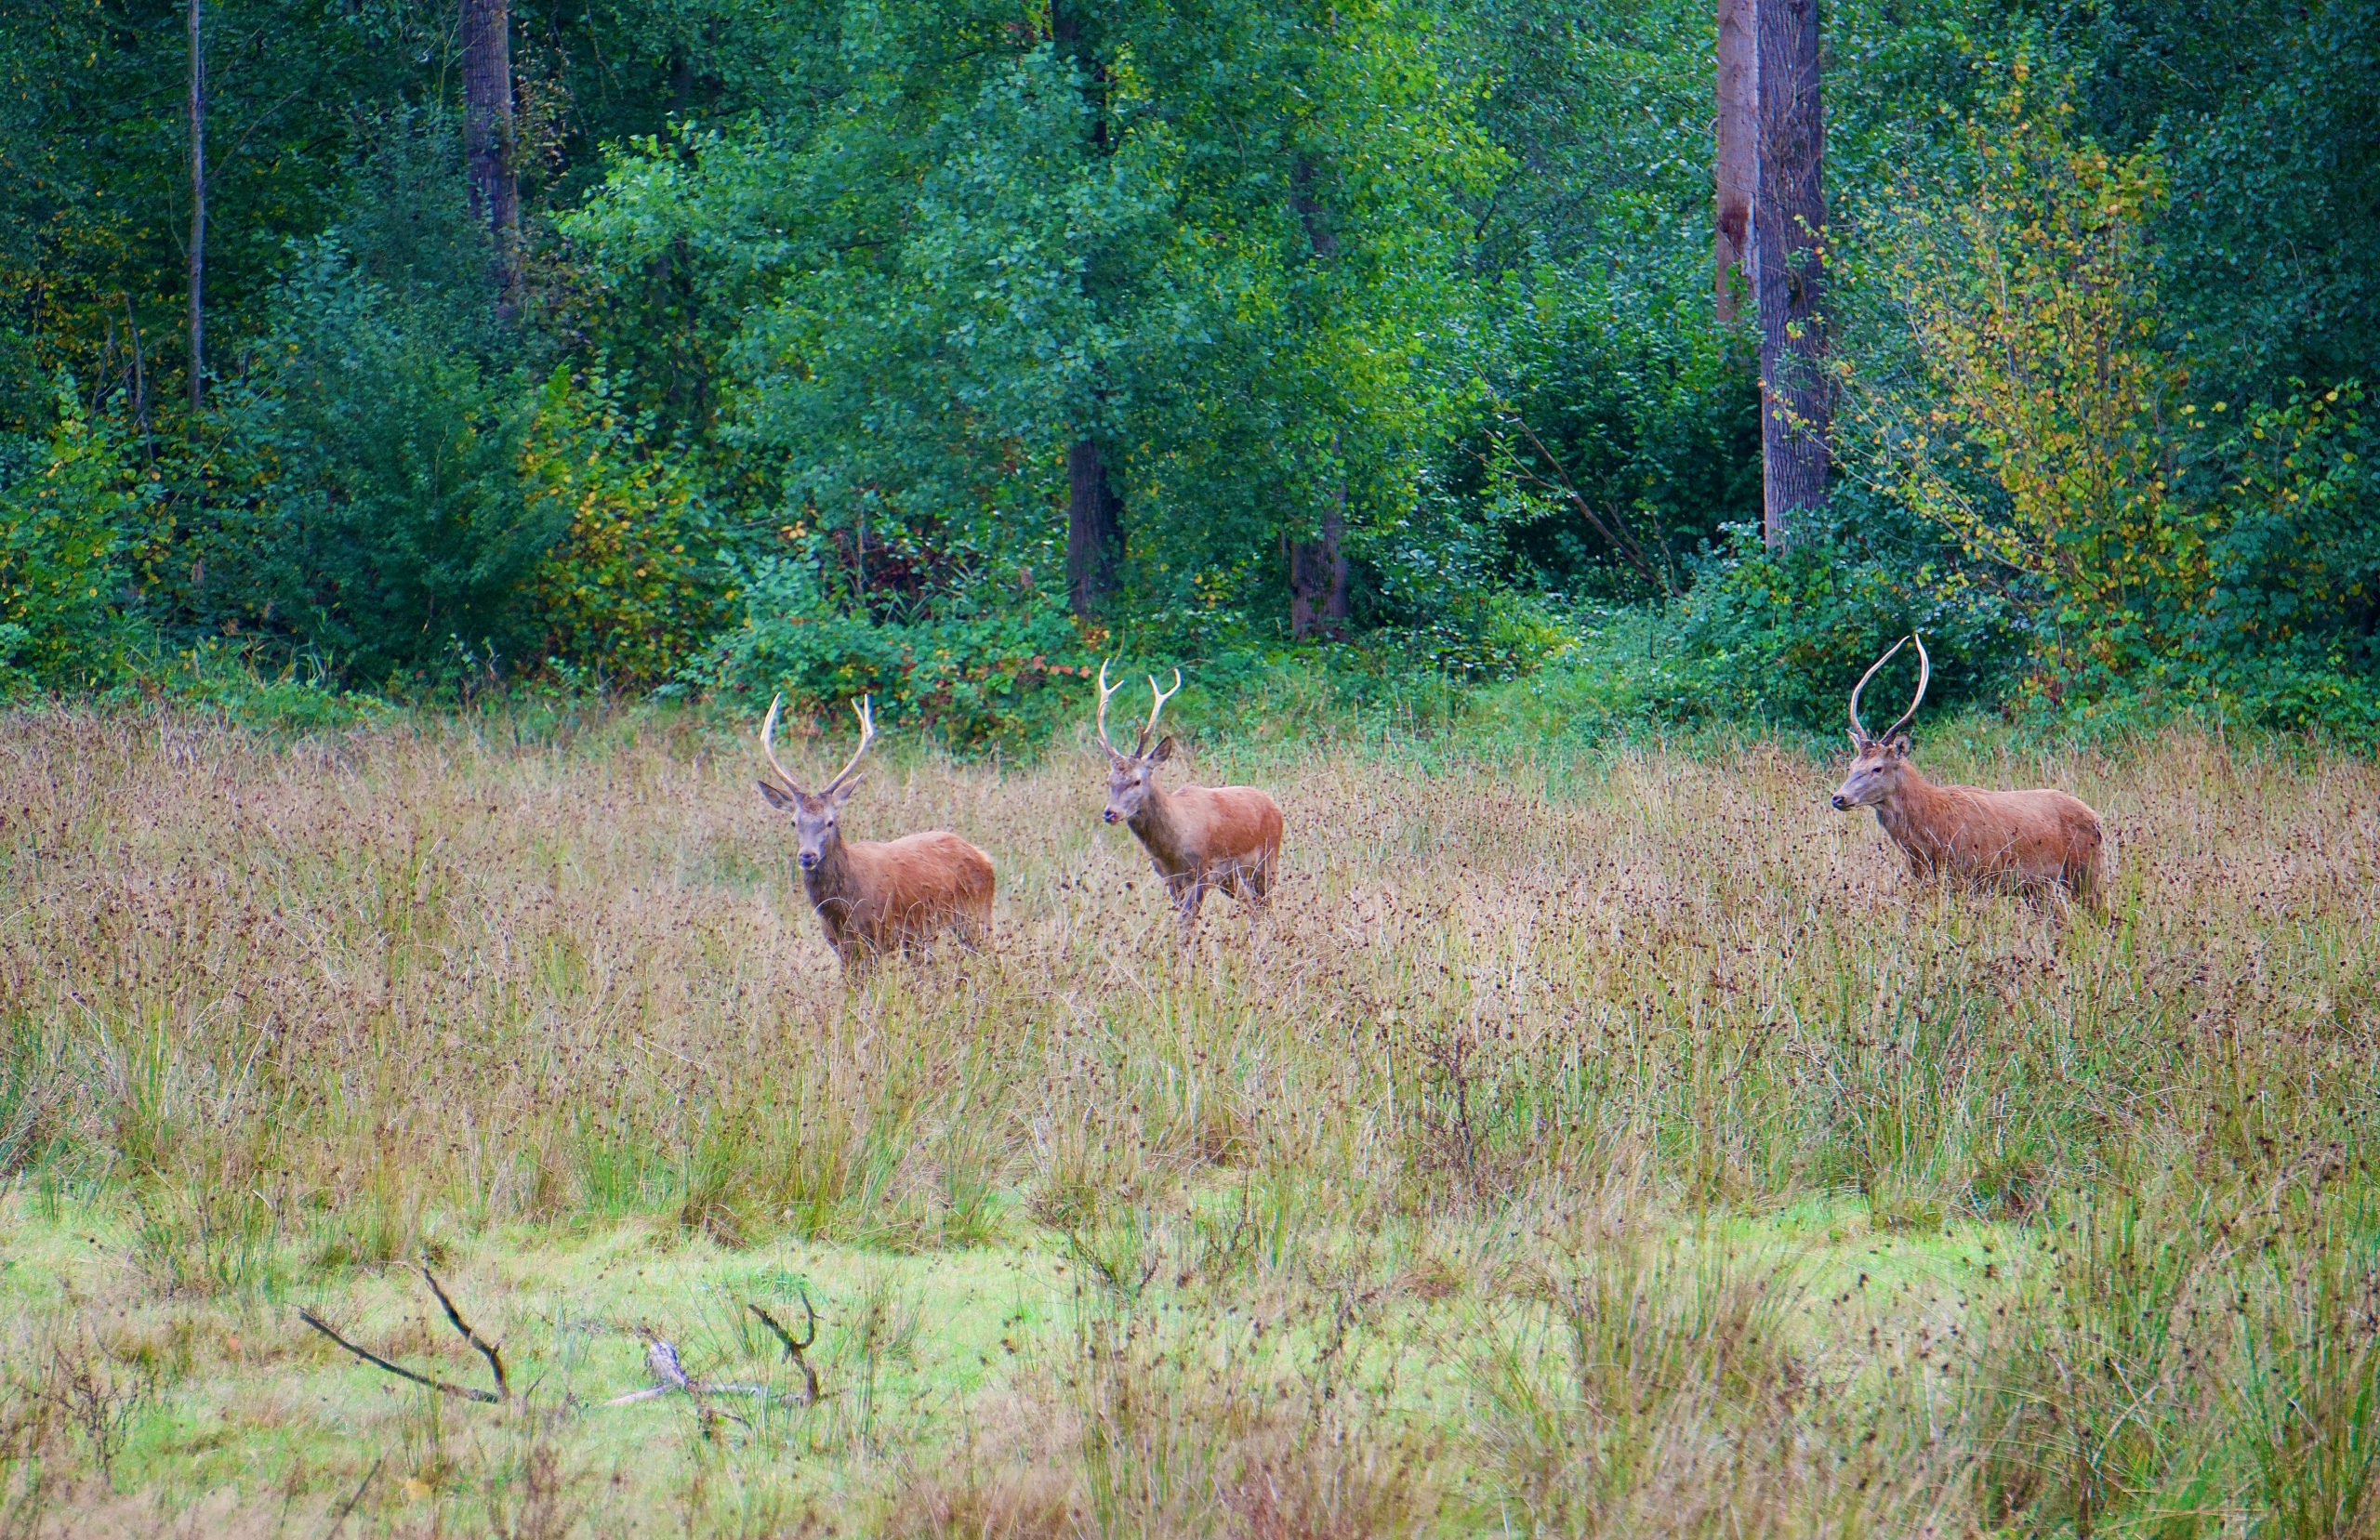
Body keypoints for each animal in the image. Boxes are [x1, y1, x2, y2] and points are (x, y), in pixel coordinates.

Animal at [751, 694, 995, 970]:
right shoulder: (840, 946)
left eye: (830, 821)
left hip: (976, 914)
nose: (807, 856)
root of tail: (984, 856)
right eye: (794, 822)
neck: (841, 909)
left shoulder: (876, 936)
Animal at [1094, 661, 1285, 938]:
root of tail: (1274, 806)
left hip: (1267, 859)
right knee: (1253, 907)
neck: (1171, 846)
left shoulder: (1201, 872)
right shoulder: (1170, 879)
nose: (1110, 813)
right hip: (1233, 879)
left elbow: (1186, 926)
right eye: (1108, 780)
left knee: (1266, 907)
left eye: (1137, 781)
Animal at [1828, 638, 2113, 904]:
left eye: (1877, 767)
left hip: (2087, 873)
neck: (1927, 838)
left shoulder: (1968, 875)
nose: (1839, 797)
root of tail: (2096, 819)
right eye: (1851, 766)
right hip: (2040, 889)